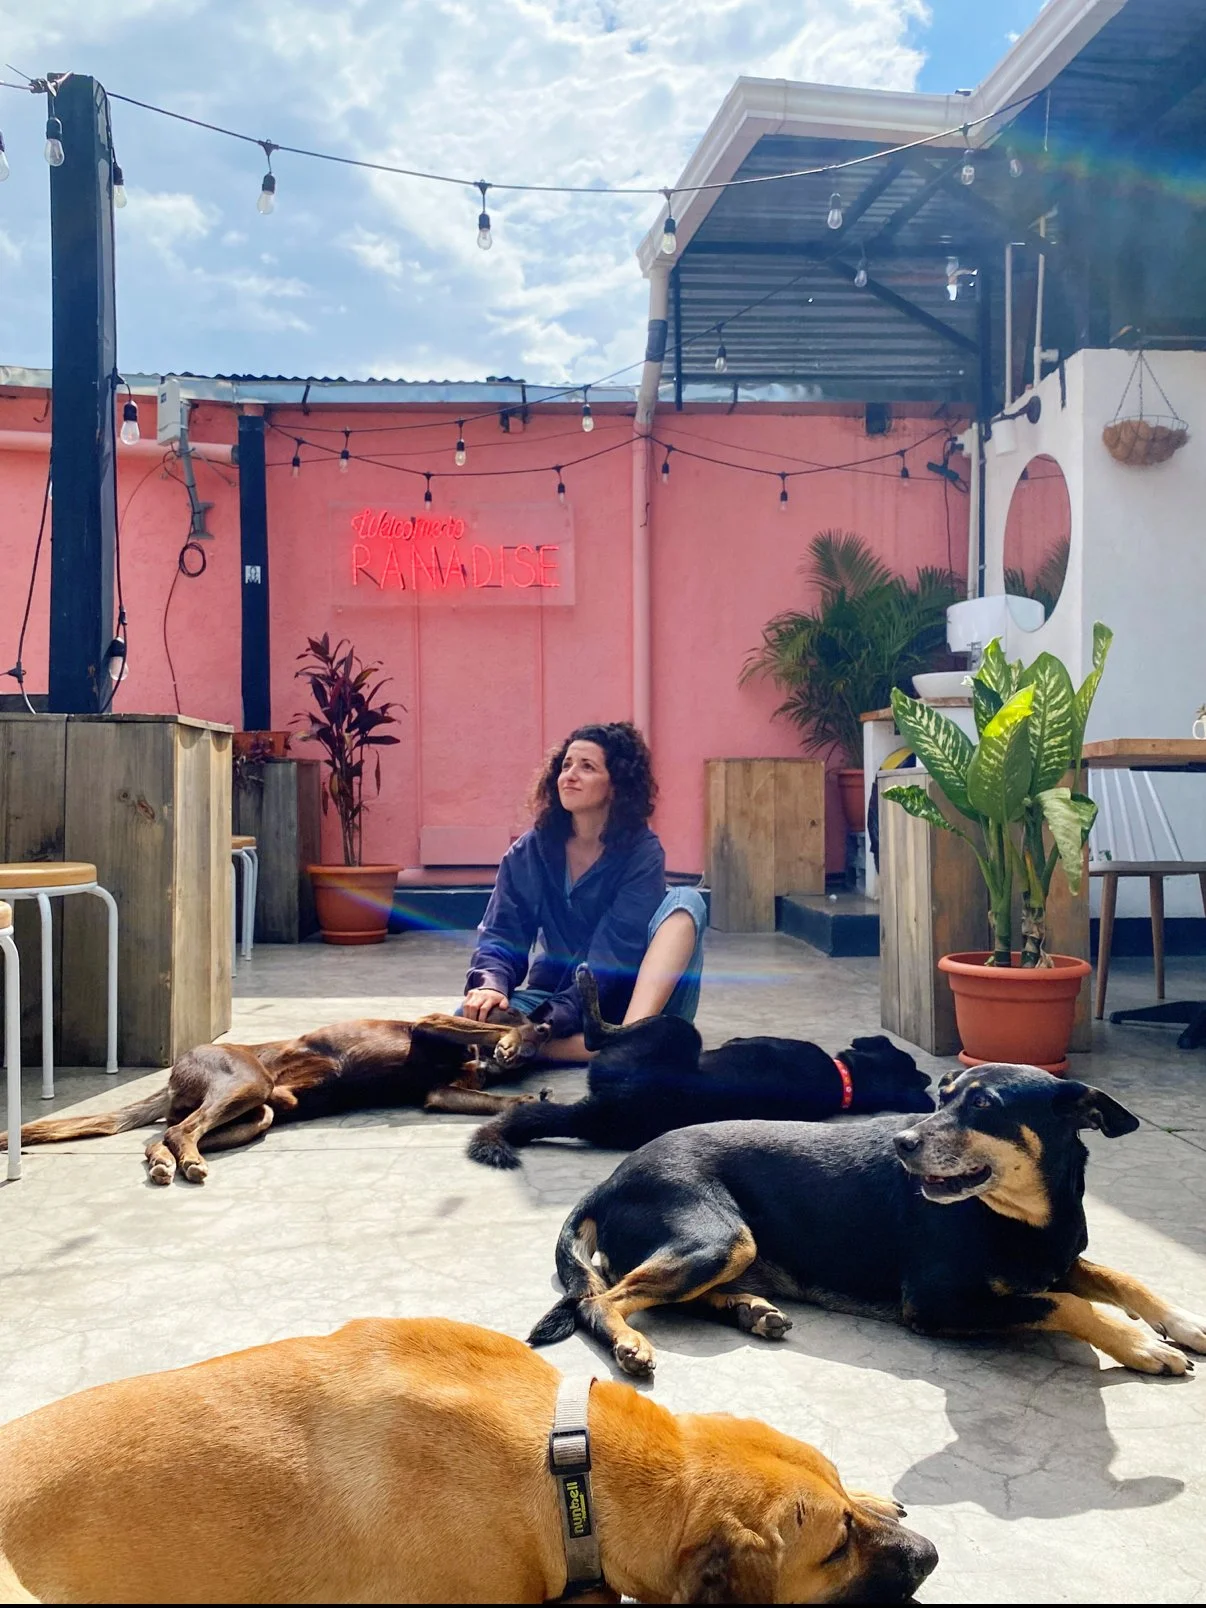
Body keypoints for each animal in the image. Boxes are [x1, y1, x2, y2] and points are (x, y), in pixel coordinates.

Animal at [0, 1012, 550, 1186]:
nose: (546, 1029)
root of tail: (179, 1068)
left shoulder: (440, 1092)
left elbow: (492, 1102)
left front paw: (526, 1098)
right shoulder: (428, 1024)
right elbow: (482, 1024)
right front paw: (509, 1038)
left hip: (260, 1110)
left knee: (164, 1136)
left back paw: (167, 1164)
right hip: (246, 1084)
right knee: (180, 1130)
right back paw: (187, 1162)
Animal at [529, 1062, 1206, 1381]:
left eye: (983, 1105)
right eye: (942, 1096)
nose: (902, 1144)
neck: (1027, 1217)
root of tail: (608, 1182)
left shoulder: (1060, 1260)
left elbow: (1121, 1280)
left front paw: (1182, 1323)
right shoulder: (938, 1303)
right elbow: (1068, 1303)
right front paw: (1143, 1345)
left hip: (729, 1248)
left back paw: (750, 1309)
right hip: (719, 1236)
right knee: (600, 1300)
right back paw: (631, 1342)